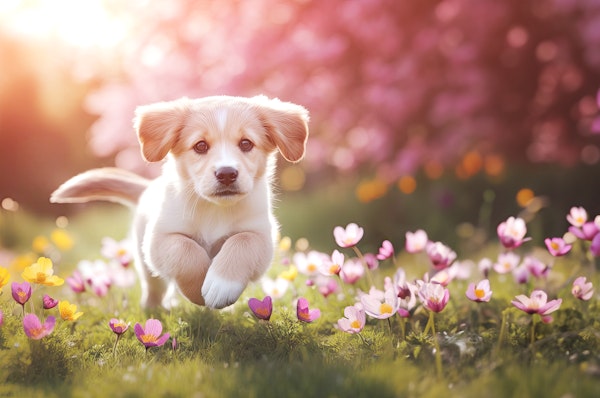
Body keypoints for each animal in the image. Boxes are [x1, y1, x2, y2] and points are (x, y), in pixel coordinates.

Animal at [51, 95, 310, 308]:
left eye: (246, 143)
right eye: (200, 145)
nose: (226, 173)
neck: (214, 209)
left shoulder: (261, 235)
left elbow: (242, 242)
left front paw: (221, 284)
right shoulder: (159, 238)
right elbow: (185, 250)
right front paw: (198, 291)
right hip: (145, 262)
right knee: (153, 287)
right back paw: (153, 309)